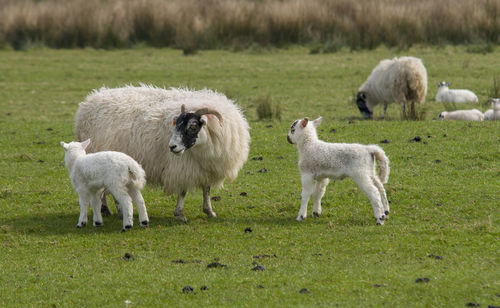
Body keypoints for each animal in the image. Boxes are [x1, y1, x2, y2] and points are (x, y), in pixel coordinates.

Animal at [73, 85, 250, 223]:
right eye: (176, 124)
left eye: (193, 126)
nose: (172, 147)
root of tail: (88, 102)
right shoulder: (181, 166)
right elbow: (183, 190)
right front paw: (180, 214)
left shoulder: (206, 167)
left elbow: (206, 189)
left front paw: (209, 211)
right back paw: (113, 210)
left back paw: (109, 209)